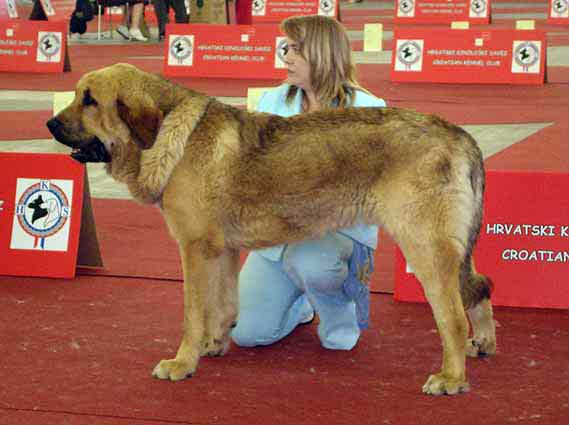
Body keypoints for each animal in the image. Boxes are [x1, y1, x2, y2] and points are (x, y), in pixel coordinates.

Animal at [46, 63, 494, 394]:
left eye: (89, 100)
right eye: (77, 95)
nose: (49, 124)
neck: (167, 132)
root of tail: (460, 134)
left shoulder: (194, 249)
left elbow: (193, 313)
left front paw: (183, 362)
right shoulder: (221, 251)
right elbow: (223, 305)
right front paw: (214, 345)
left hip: (425, 249)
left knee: (452, 317)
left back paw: (451, 378)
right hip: (448, 252)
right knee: (480, 288)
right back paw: (483, 343)